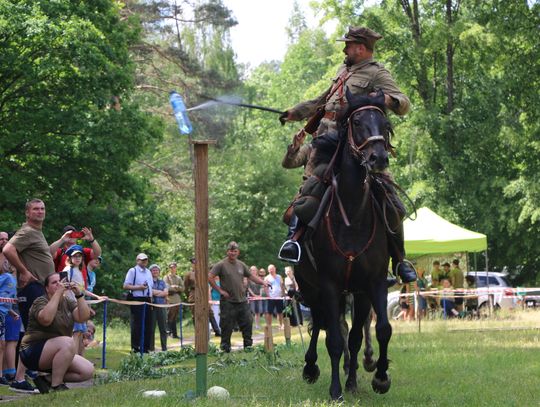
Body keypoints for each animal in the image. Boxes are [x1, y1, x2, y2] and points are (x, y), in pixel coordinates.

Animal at [296, 92, 392, 402]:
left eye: (384, 123)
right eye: (357, 122)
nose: (378, 158)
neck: (352, 213)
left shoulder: (372, 284)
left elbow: (378, 330)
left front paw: (380, 377)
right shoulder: (329, 285)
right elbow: (335, 340)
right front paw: (336, 390)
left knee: (351, 332)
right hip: (310, 288)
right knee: (318, 324)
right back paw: (310, 367)